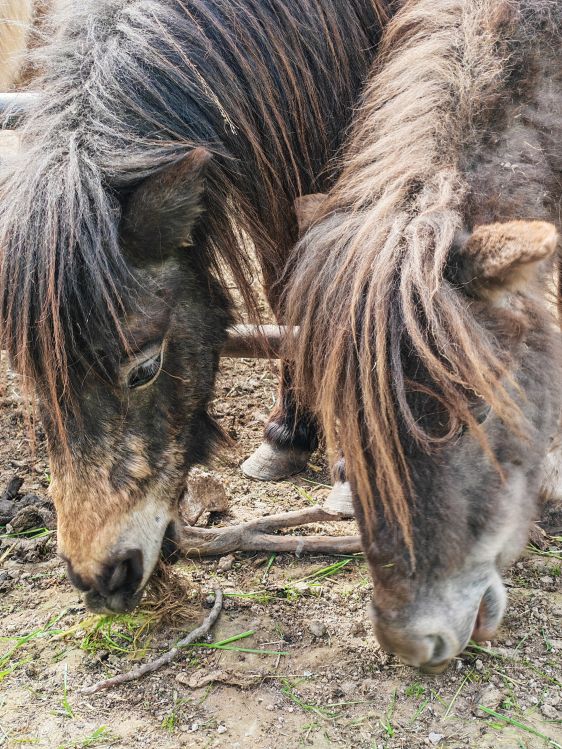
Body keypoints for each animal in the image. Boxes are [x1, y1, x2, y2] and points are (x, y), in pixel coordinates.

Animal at [0, 0, 391, 614]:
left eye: (145, 369)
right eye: (28, 375)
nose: (100, 580)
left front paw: (347, 468)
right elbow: (288, 287)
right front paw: (287, 437)